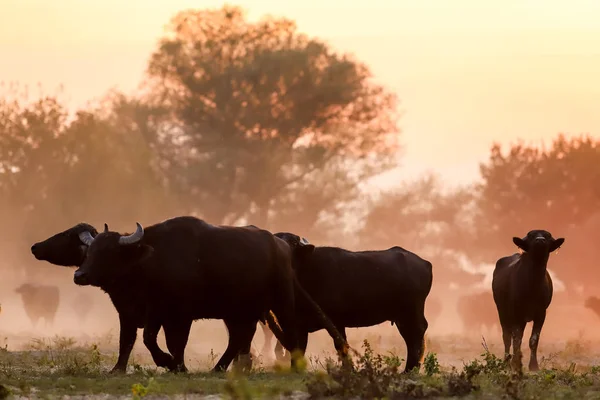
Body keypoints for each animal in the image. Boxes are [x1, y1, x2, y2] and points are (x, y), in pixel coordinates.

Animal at [74, 217, 346, 374]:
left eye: (108, 251)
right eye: (89, 250)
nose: (79, 275)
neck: (149, 262)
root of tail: (281, 246)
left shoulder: (176, 314)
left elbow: (167, 341)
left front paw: (174, 364)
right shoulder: (134, 312)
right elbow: (132, 340)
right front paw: (119, 369)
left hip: (281, 300)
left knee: (288, 330)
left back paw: (294, 365)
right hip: (239, 310)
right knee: (240, 337)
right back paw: (221, 367)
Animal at [272, 231, 432, 372]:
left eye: (293, 243)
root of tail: (425, 264)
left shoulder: (336, 320)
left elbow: (340, 344)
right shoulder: (299, 323)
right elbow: (298, 348)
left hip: (412, 312)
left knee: (416, 336)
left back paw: (410, 370)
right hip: (401, 318)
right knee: (410, 338)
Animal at [492, 230, 564, 374]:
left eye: (547, 236)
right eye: (531, 236)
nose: (540, 240)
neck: (532, 285)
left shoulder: (541, 313)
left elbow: (533, 340)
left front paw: (534, 366)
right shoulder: (516, 312)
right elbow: (516, 339)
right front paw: (515, 364)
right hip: (501, 310)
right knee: (507, 337)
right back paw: (506, 362)